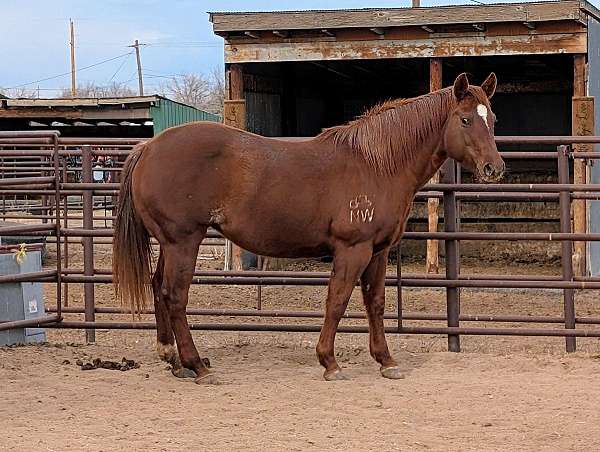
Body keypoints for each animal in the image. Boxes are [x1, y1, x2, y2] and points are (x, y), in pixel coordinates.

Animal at [113, 72, 506, 384]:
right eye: (466, 119)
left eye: (492, 118)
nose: (494, 169)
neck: (376, 164)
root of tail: (148, 146)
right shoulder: (352, 250)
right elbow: (337, 301)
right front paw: (329, 362)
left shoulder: (377, 252)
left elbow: (375, 303)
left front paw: (386, 361)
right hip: (183, 241)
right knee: (175, 296)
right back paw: (198, 366)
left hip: (170, 243)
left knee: (158, 288)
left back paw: (174, 360)